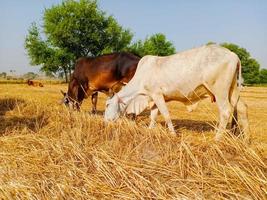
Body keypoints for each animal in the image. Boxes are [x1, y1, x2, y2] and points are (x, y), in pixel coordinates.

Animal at [104, 44, 249, 140]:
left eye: (107, 105)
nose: (104, 121)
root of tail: (233, 54)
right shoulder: (153, 98)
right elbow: (153, 116)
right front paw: (150, 129)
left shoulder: (157, 95)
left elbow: (166, 115)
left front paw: (173, 134)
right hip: (232, 90)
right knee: (242, 107)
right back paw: (245, 139)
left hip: (220, 91)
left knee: (225, 111)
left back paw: (217, 139)